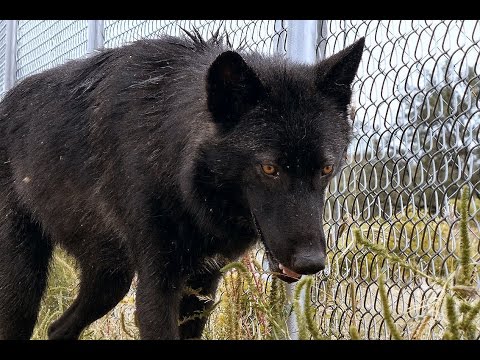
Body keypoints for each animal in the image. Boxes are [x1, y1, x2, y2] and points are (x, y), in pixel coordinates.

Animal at [0, 30, 364, 338]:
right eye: (269, 168)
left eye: (326, 168)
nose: (312, 262)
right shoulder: (158, 285)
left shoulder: (204, 286)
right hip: (27, 282)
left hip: (111, 278)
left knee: (57, 328)